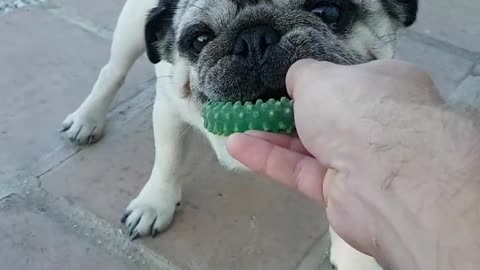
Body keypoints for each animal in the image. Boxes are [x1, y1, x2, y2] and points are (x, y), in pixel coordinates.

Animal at [62, 0, 416, 268]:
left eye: (328, 12)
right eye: (200, 40)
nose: (254, 38)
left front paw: (356, 256)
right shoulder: (168, 107)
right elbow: (168, 160)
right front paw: (154, 204)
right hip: (133, 26)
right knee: (112, 72)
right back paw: (87, 118)